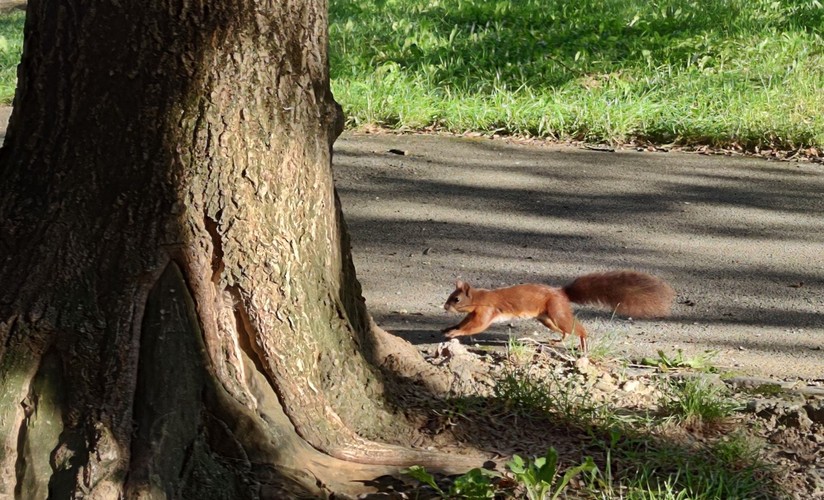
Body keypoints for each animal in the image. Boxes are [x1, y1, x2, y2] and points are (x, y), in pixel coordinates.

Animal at [440, 270, 672, 352]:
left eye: (456, 299)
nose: (444, 307)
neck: (478, 298)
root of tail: (562, 293)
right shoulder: (473, 313)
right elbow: (465, 322)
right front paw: (449, 328)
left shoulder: (485, 311)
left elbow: (474, 327)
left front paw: (454, 333)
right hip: (547, 318)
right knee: (565, 331)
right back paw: (558, 341)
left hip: (556, 312)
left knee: (577, 329)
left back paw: (583, 344)